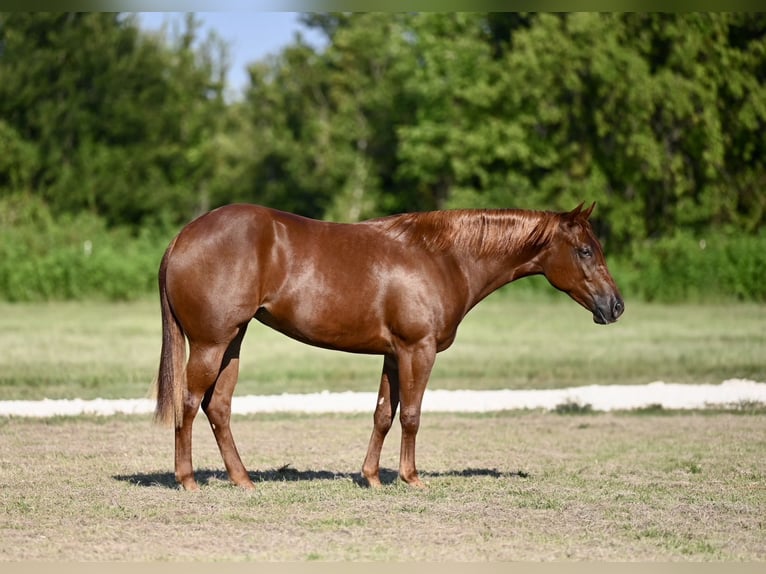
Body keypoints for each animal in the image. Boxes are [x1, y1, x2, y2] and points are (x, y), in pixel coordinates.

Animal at [155, 202, 624, 491]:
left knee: (218, 407)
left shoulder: (394, 355)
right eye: (585, 250)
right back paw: (188, 479)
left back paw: (243, 480)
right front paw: (411, 477)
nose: (615, 305)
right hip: (211, 344)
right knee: (190, 403)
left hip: (232, 344)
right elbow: (412, 415)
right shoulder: (419, 350)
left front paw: (372, 476)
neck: (442, 257)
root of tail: (182, 238)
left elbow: (383, 413)